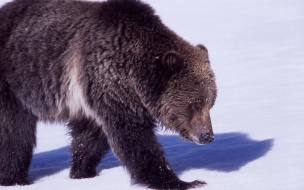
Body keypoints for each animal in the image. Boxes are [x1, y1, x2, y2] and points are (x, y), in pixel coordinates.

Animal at [0, 0, 218, 189]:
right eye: (194, 104)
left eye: (210, 103)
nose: (207, 136)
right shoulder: (110, 82)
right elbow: (133, 138)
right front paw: (183, 181)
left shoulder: (94, 97)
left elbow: (90, 137)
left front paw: (82, 171)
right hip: (13, 82)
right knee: (15, 133)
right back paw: (15, 178)